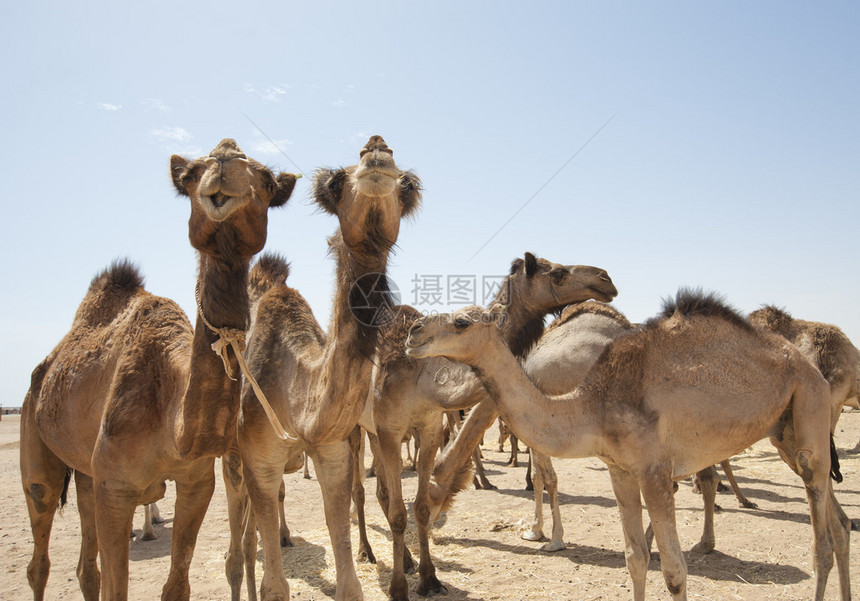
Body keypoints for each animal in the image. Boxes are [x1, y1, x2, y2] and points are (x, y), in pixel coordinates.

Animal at [19, 137, 296, 600]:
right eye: (190, 175)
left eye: (268, 181)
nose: (225, 162)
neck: (170, 418)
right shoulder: (115, 489)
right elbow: (118, 588)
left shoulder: (196, 482)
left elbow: (177, 584)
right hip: (36, 439)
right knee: (39, 547)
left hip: (84, 472)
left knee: (86, 567)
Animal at [222, 136, 424, 600]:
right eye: (335, 182)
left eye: (405, 185)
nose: (377, 149)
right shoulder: (260, 460)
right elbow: (275, 585)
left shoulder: (331, 453)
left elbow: (349, 578)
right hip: (230, 458)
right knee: (237, 548)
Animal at [362, 253, 620, 600]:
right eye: (558, 273)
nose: (606, 279)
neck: (421, 381)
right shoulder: (391, 430)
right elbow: (402, 510)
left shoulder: (432, 427)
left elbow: (419, 505)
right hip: (360, 430)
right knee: (368, 491)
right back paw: (372, 554)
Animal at [408, 292, 852, 600]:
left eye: (461, 322)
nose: (414, 333)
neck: (592, 405)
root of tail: (807, 365)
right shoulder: (619, 470)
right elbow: (635, 560)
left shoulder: (655, 471)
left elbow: (674, 571)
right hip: (787, 432)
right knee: (841, 524)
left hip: (810, 407)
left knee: (822, 543)